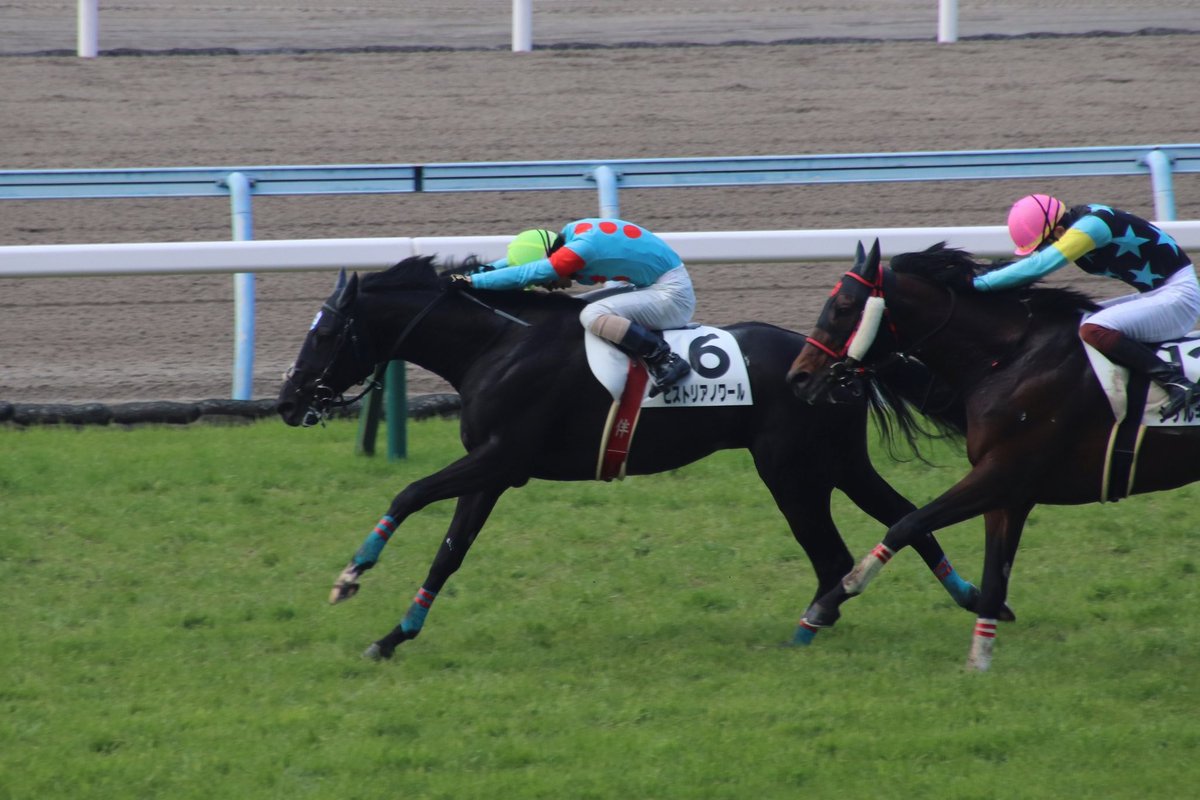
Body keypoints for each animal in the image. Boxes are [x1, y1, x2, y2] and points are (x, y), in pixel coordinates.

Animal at [277, 254, 985, 660]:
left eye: (326, 331)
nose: (288, 401)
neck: (499, 345)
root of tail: (837, 362)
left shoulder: (502, 459)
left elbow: (409, 494)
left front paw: (351, 576)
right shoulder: (493, 471)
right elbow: (449, 553)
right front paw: (395, 635)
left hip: (790, 470)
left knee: (835, 553)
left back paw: (816, 622)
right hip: (837, 461)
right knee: (903, 516)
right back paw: (969, 594)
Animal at [786, 240, 1200, 670]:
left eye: (844, 305)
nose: (798, 376)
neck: (1009, 360)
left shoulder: (1001, 474)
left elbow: (907, 525)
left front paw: (825, 605)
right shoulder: (1010, 497)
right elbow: (993, 577)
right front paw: (979, 661)